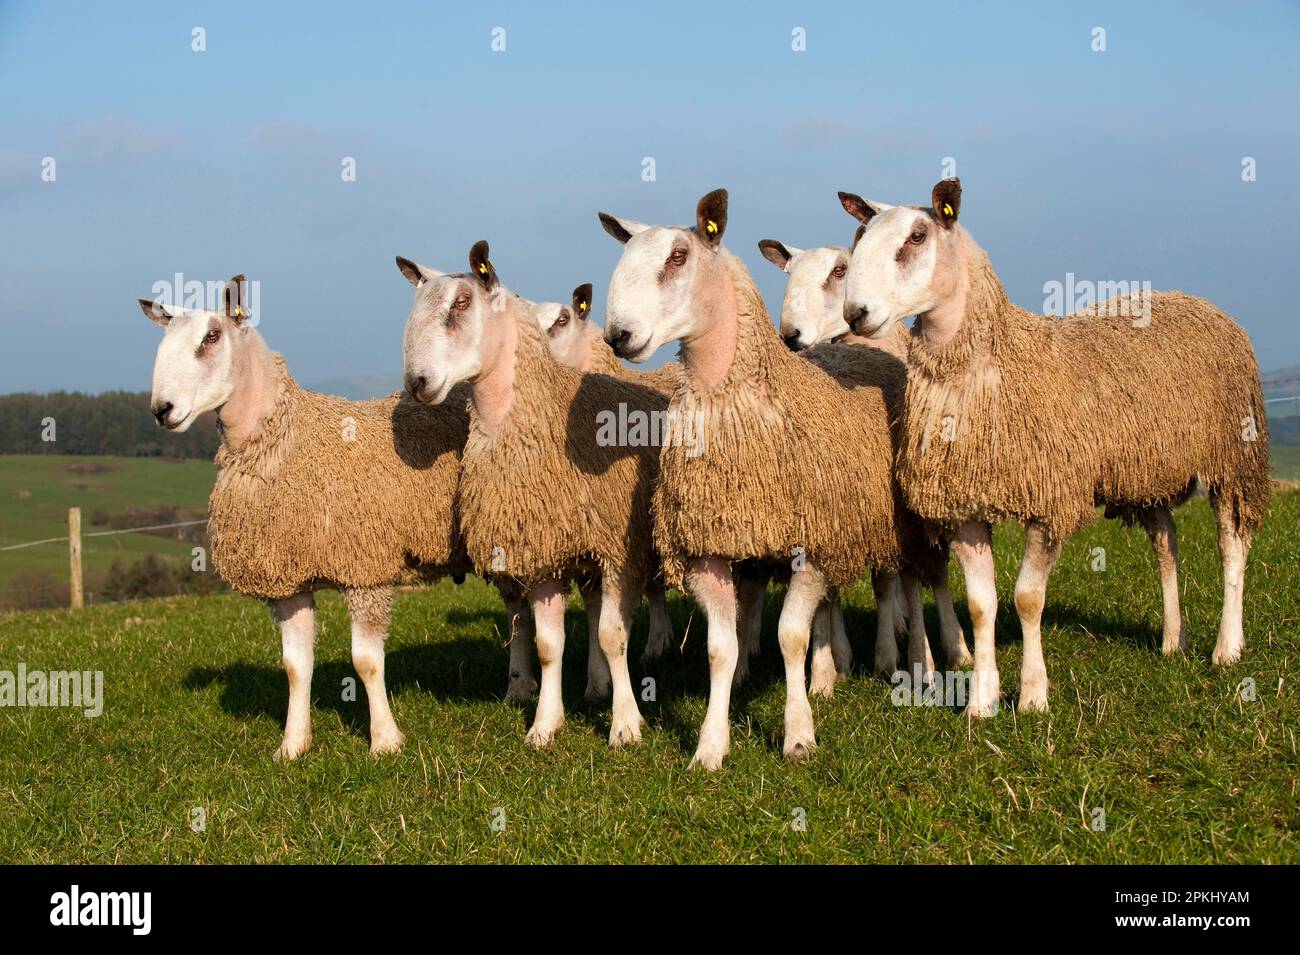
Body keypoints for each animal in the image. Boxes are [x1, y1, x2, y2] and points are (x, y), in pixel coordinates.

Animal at [138, 278, 491, 764]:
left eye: (211, 337)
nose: (162, 409)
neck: (283, 440)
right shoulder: (288, 579)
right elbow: (294, 666)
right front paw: (292, 744)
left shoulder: (365, 570)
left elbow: (366, 663)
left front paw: (385, 741)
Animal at [395, 242, 665, 748]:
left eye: (462, 303)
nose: (417, 383)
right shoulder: (542, 550)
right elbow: (546, 644)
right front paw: (545, 723)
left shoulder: (618, 550)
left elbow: (613, 635)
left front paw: (624, 723)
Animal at [595, 188, 941, 769]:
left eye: (678, 257)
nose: (618, 336)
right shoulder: (710, 548)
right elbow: (721, 647)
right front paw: (711, 743)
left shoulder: (810, 544)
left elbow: (791, 638)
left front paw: (798, 732)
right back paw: (830, 669)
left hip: (896, 523)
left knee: (906, 586)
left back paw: (917, 661)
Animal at [759, 233, 972, 670]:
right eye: (789, 274)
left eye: (840, 270)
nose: (789, 334)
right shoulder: (839, 502)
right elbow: (831, 591)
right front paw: (834, 656)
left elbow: (894, 580)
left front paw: (894, 655)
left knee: (927, 575)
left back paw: (947, 641)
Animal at [837, 179, 1274, 717]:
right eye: (860, 238)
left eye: (917, 237)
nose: (855, 313)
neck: (992, 362)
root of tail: (1202, 302)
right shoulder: (965, 506)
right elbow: (982, 605)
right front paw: (981, 702)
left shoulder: (1050, 500)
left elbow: (1027, 599)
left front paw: (1032, 695)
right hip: (1146, 471)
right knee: (1166, 543)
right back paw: (1174, 639)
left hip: (1233, 455)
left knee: (1232, 545)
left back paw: (1227, 647)